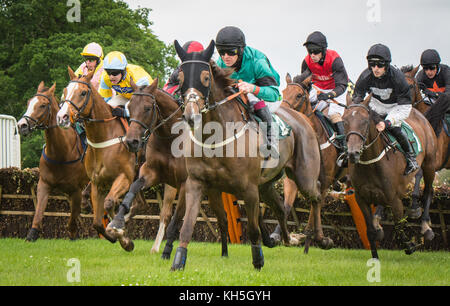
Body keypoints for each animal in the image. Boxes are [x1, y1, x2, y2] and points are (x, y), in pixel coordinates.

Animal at [17, 81, 89, 241]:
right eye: (29, 102)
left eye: (43, 105)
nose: (21, 125)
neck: (61, 153)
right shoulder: (44, 184)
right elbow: (39, 211)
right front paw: (32, 234)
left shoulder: (77, 190)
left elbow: (73, 218)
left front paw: (73, 234)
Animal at [55, 67, 145, 251]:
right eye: (65, 91)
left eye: (83, 93)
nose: (62, 117)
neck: (103, 138)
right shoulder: (98, 183)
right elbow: (97, 223)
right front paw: (119, 236)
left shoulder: (124, 177)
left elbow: (110, 203)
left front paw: (121, 235)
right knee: (139, 205)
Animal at [172, 40, 324, 270]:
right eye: (180, 79)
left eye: (205, 78)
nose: (191, 115)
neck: (216, 139)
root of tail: (302, 117)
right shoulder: (197, 183)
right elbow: (187, 225)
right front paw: (178, 262)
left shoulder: (249, 189)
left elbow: (253, 230)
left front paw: (258, 261)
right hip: (267, 184)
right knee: (281, 208)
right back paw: (288, 238)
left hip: (303, 177)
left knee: (317, 195)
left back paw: (320, 237)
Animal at [342, 95, 438, 258]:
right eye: (344, 121)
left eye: (365, 121)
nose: (352, 153)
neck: (370, 164)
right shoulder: (361, 199)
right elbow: (370, 232)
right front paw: (375, 257)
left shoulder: (395, 199)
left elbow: (398, 226)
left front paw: (411, 246)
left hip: (429, 164)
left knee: (428, 191)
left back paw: (426, 227)